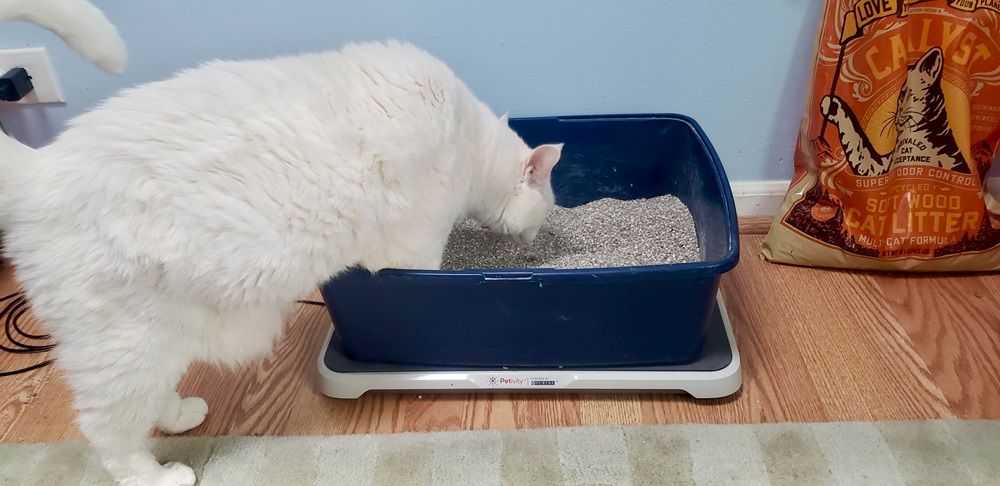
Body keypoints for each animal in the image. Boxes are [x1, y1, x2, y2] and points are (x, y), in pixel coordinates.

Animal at [0, 1, 564, 484]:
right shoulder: (416, 245)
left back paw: (182, 415)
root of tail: (40, 166)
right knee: (106, 428)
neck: (469, 143)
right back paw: (158, 476)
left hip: (160, 339)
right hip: (125, 343)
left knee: (149, 399)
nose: (535, 243)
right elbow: (428, 275)